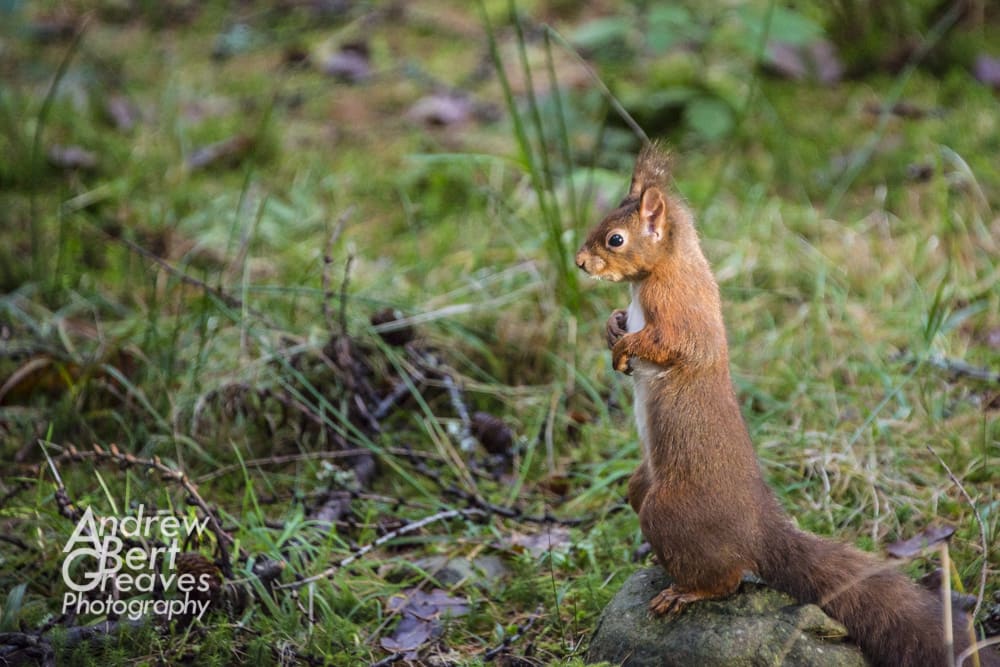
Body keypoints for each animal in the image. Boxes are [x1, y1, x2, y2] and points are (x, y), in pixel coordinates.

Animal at [575, 142, 998, 667]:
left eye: (615, 239)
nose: (579, 262)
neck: (666, 269)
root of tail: (759, 530)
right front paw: (613, 327)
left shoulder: (680, 310)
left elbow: (671, 343)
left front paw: (626, 345)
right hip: (642, 484)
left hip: (667, 511)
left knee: (727, 579)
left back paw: (685, 591)